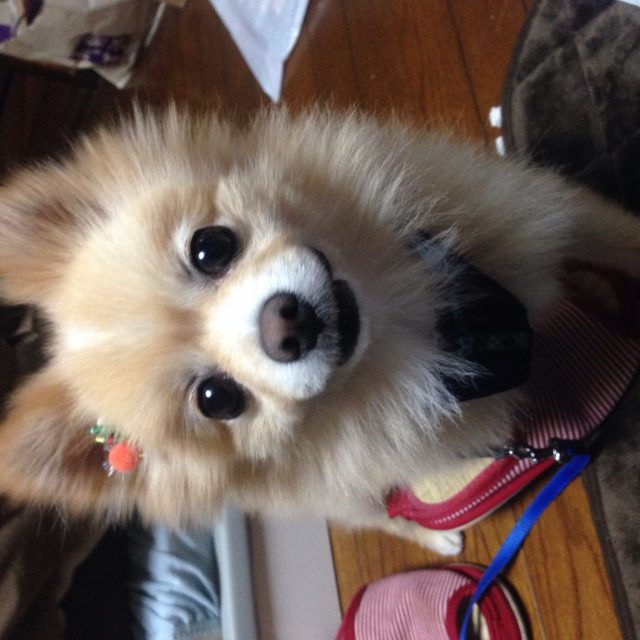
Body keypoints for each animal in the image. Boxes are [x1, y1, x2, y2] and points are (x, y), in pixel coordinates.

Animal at [0, 108, 638, 555]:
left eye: (210, 247)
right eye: (216, 398)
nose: (286, 323)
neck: (416, 312)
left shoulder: (551, 211)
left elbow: (616, 234)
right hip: (345, 493)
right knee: (378, 516)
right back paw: (437, 538)